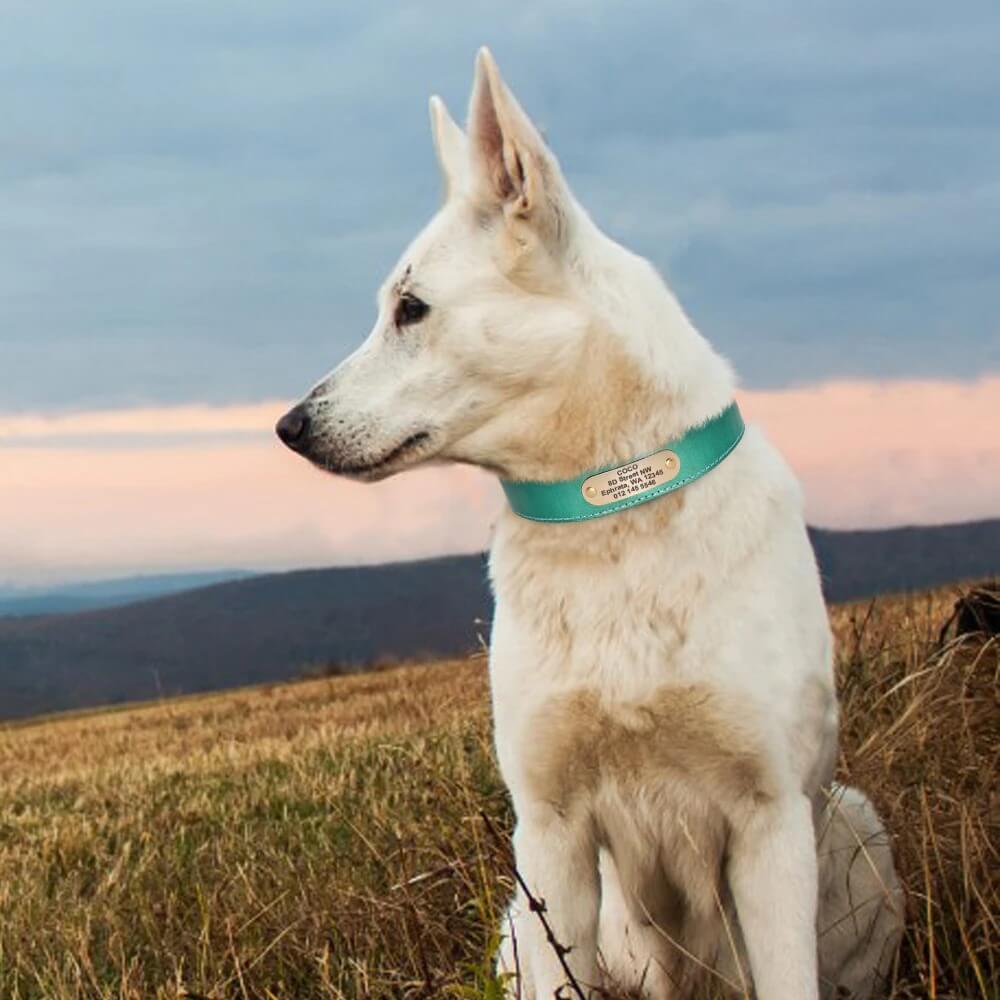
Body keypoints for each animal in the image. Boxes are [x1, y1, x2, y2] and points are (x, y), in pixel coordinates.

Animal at [278, 50, 904, 1000]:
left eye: (410, 309)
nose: (289, 426)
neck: (609, 508)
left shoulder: (770, 822)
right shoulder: (551, 832)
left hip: (857, 829)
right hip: (519, 920)